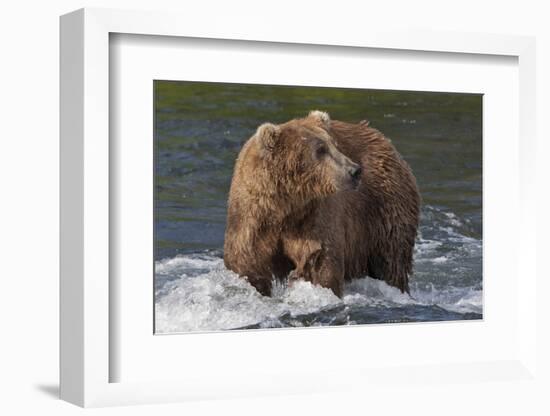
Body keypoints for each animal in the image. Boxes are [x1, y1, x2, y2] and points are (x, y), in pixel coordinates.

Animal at [222, 110, 420, 298]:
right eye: (320, 149)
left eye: (334, 145)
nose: (355, 170)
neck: (286, 205)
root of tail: (384, 140)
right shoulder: (252, 217)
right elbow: (248, 264)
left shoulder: (314, 215)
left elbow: (319, 261)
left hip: (383, 208)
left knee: (391, 260)